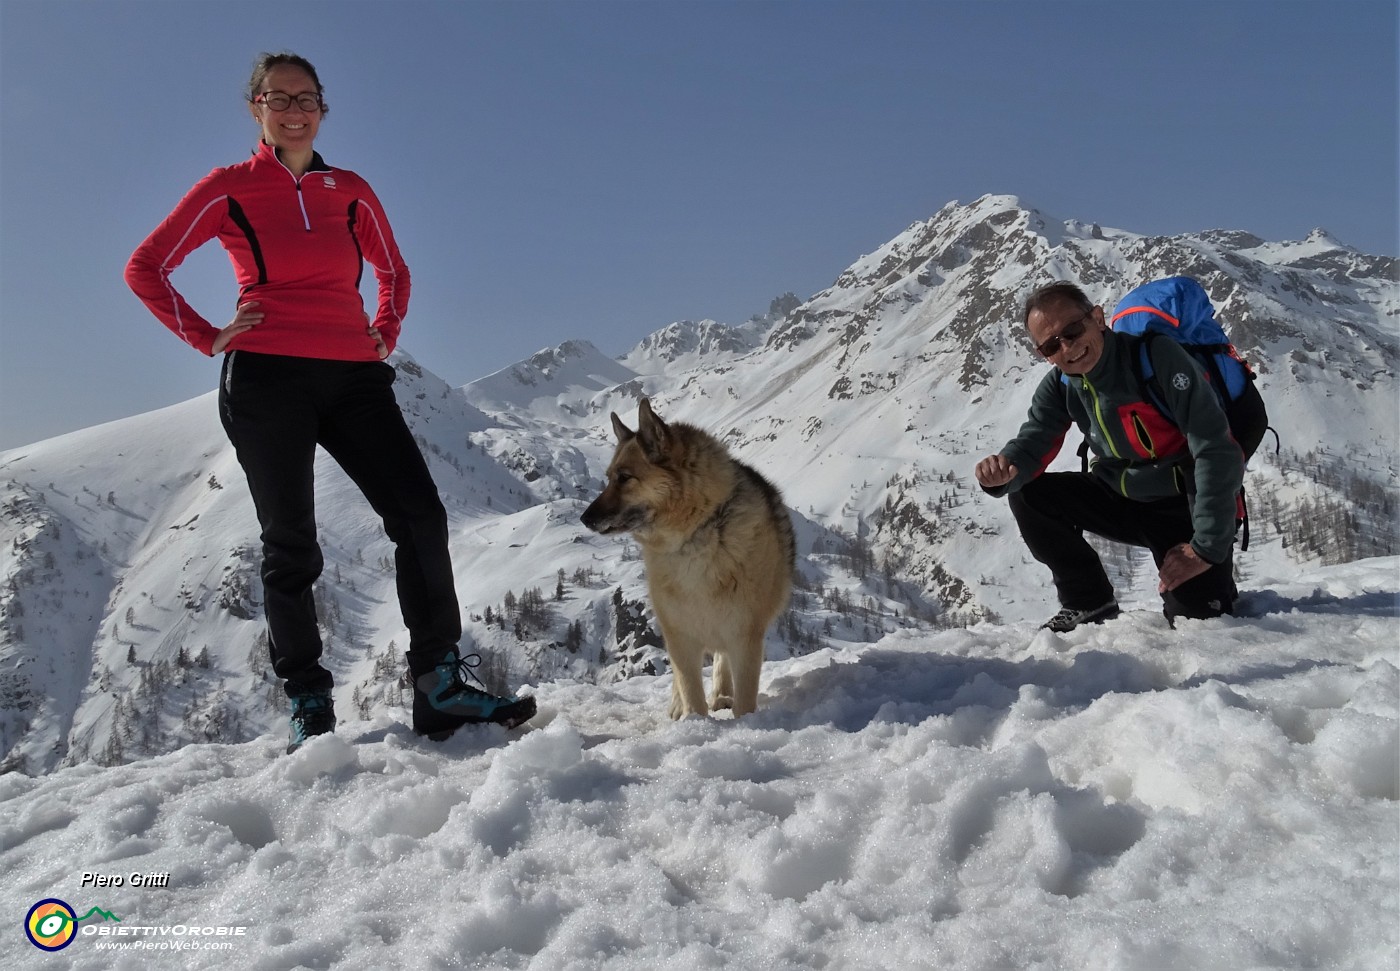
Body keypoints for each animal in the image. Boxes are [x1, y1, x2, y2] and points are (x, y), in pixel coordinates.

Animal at [582, 397, 800, 721]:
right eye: (609, 478)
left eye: (624, 478)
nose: (584, 519)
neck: (696, 536)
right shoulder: (680, 635)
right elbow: (689, 687)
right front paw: (695, 722)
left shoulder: (744, 635)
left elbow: (744, 696)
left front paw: (744, 722)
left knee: (721, 660)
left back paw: (721, 694)